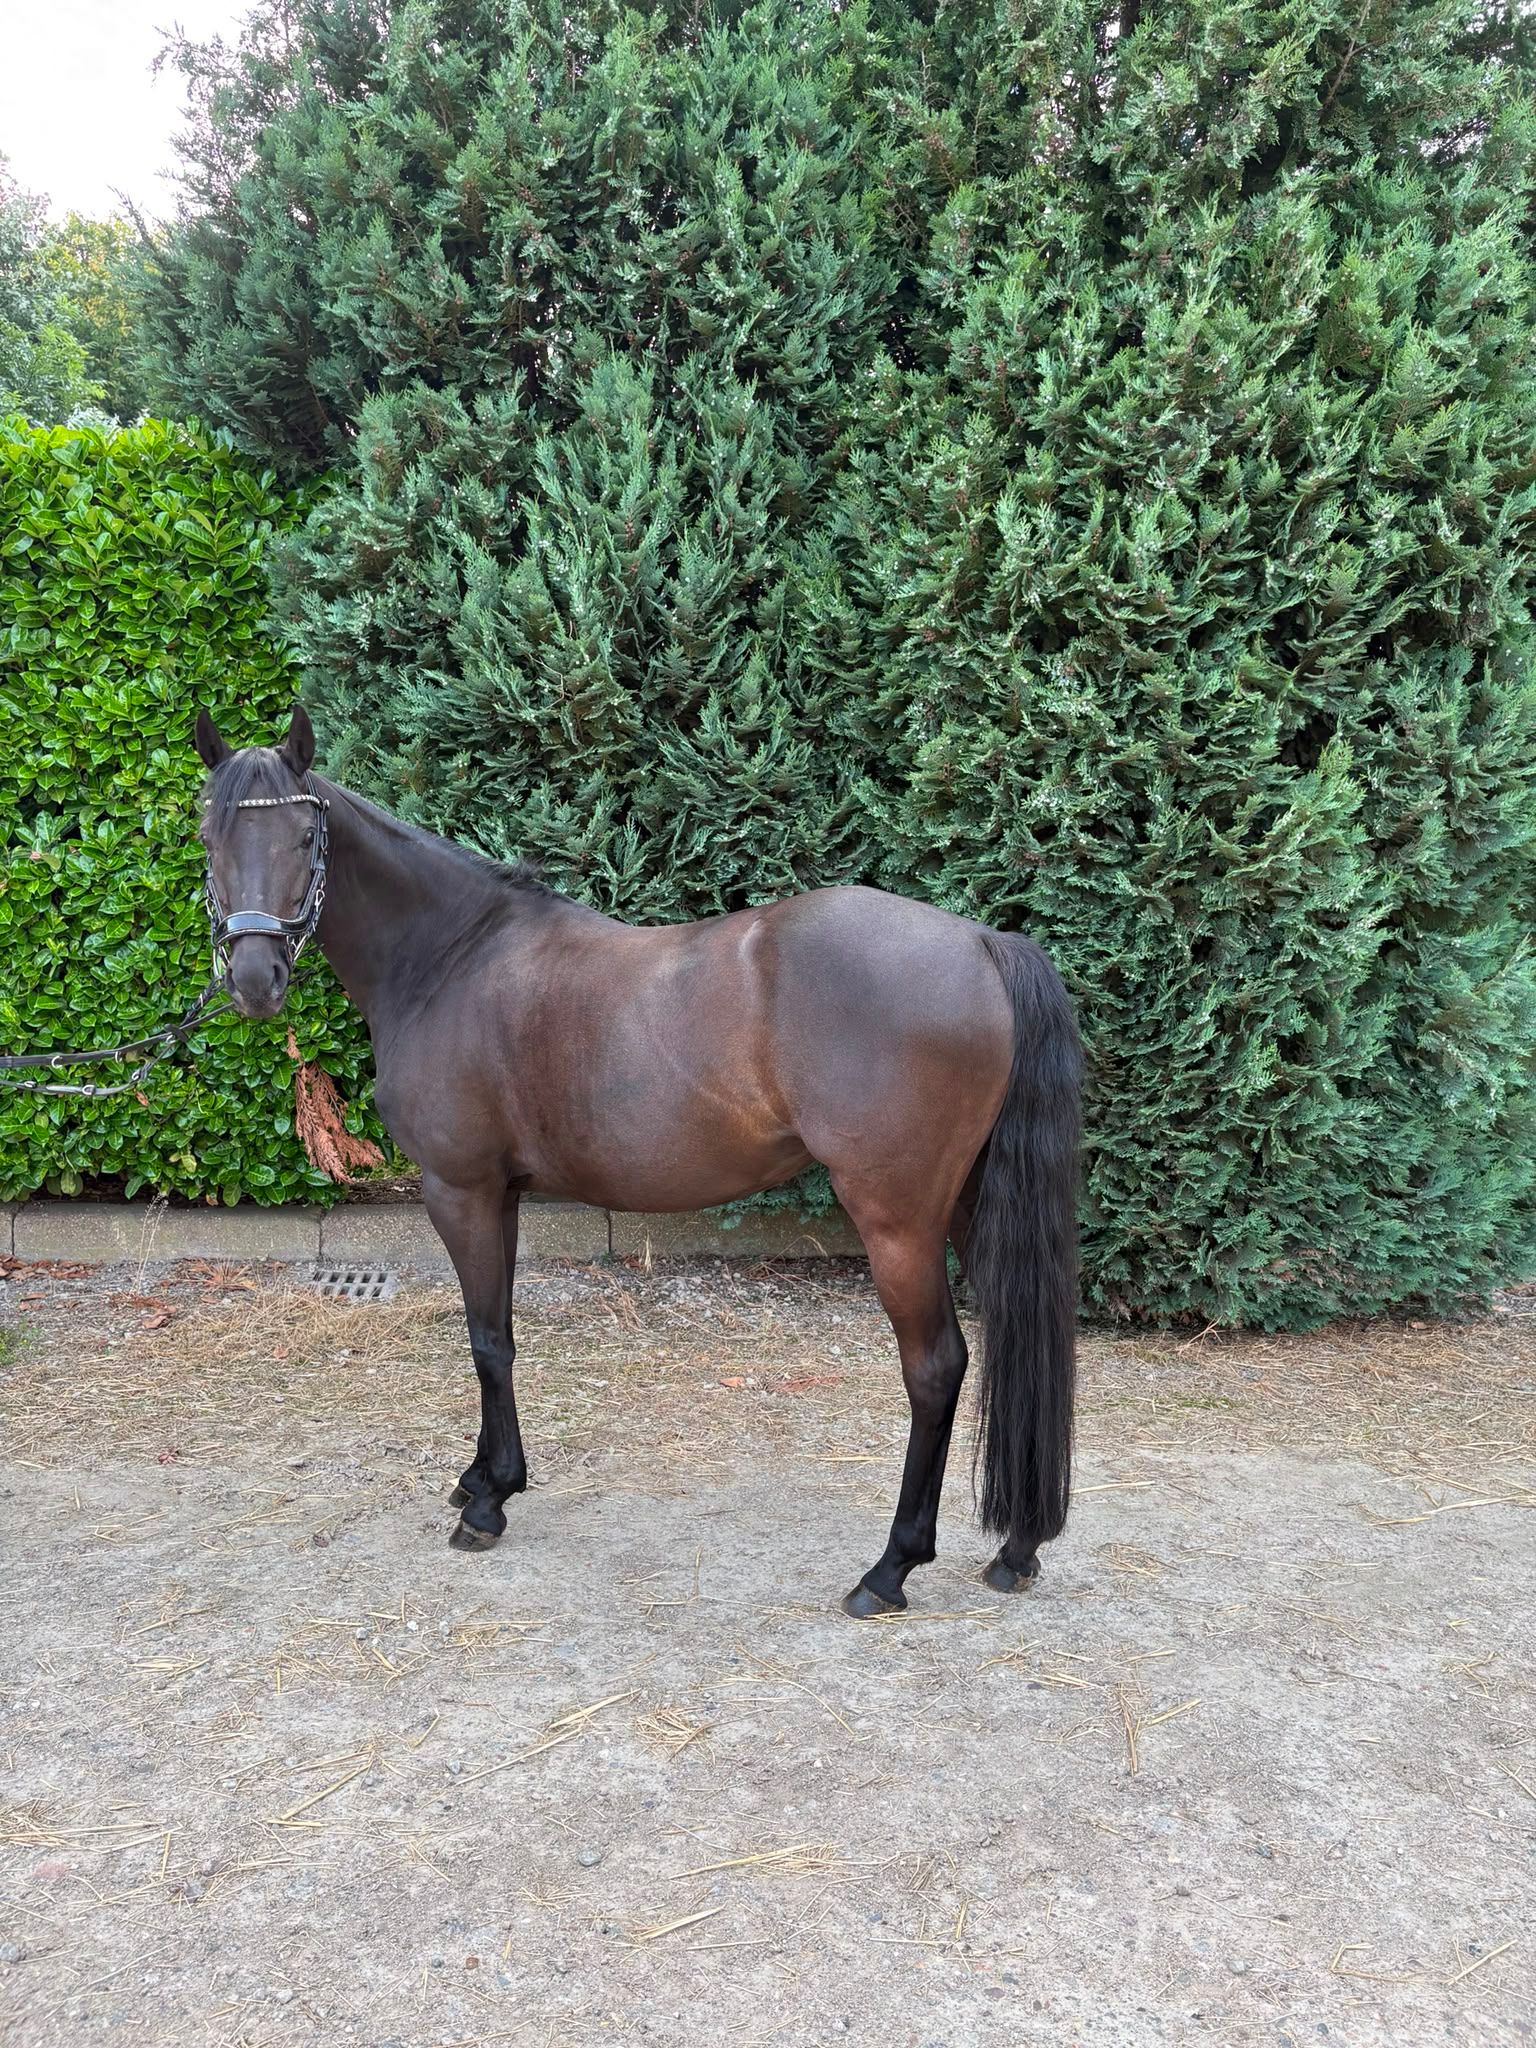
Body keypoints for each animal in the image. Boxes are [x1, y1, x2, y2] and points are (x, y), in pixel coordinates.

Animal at [194, 705, 1082, 1616]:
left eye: (305, 836)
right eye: (209, 834)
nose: (256, 979)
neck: (452, 956)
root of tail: (981, 942)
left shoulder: (460, 1189)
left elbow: (487, 1339)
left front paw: (488, 1502)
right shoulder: (502, 1194)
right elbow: (498, 1331)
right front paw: (483, 1475)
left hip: (897, 1220)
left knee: (936, 1367)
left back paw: (890, 1568)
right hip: (970, 1205)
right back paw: (1016, 1548)